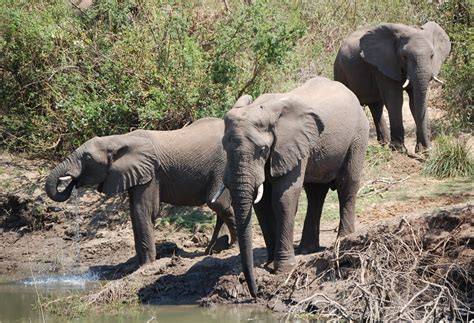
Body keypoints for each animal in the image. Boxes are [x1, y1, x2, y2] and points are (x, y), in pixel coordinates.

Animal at [44, 112, 252, 268]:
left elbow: (143, 211)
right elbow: (134, 213)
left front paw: (146, 265)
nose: (71, 182)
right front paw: (139, 264)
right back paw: (215, 249)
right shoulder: (135, 174)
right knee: (220, 206)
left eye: (87, 158)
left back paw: (229, 246)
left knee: (217, 203)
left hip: (223, 164)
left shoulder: (151, 173)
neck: (118, 139)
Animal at [215, 77, 370, 298]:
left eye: (262, 149)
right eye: (224, 148)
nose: (255, 293)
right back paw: (306, 249)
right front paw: (269, 264)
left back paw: (342, 240)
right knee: (315, 192)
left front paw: (283, 269)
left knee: (347, 185)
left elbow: (283, 199)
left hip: (358, 135)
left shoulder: (288, 144)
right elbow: (262, 205)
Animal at [336, 21, 450, 153]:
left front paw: (422, 150)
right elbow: (395, 100)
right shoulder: (383, 65)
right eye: (404, 57)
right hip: (340, 71)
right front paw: (398, 149)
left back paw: (384, 143)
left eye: (432, 55)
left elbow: (414, 102)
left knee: (376, 106)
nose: (427, 149)